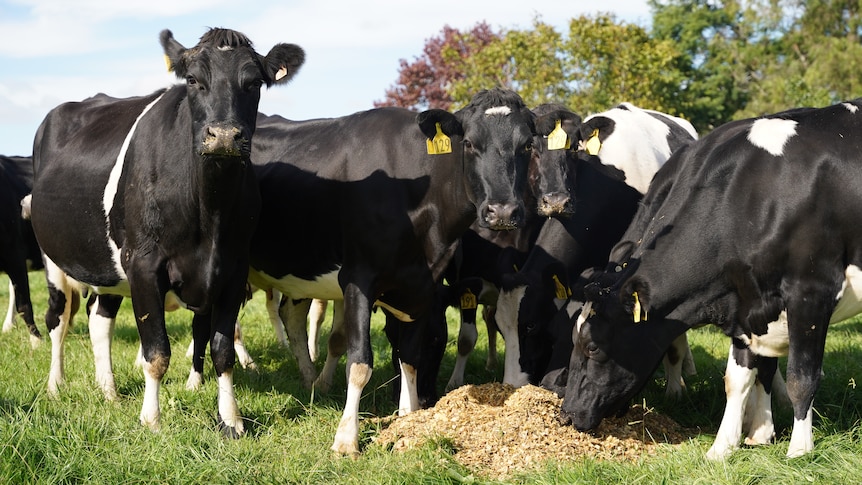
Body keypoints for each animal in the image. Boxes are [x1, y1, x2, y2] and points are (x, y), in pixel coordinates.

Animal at [30, 26, 306, 436]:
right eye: (192, 80)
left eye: (254, 82)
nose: (224, 136)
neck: (210, 216)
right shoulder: (144, 264)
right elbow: (157, 352)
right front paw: (152, 420)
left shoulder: (233, 268)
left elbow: (222, 349)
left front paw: (231, 420)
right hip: (55, 260)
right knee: (59, 320)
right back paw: (55, 384)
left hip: (109, 264)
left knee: (99, 320)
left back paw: (108, 390)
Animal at [243, 90, 536, 454]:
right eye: (468, 143)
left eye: (527, 144)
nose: (503, 212)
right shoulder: (357, 278)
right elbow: (359, 362)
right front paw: (346, 438)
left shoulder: (425, 286)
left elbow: (408, 356)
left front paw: (407, 416)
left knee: (290, 316)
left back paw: (311, 382)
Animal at [560, 99, 862, 458]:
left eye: (592, 346)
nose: (567, 414)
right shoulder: (746, 302)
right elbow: (739, 378)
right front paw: (727, 446)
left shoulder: (811, 293)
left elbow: (801, 378)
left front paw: (799, 450)